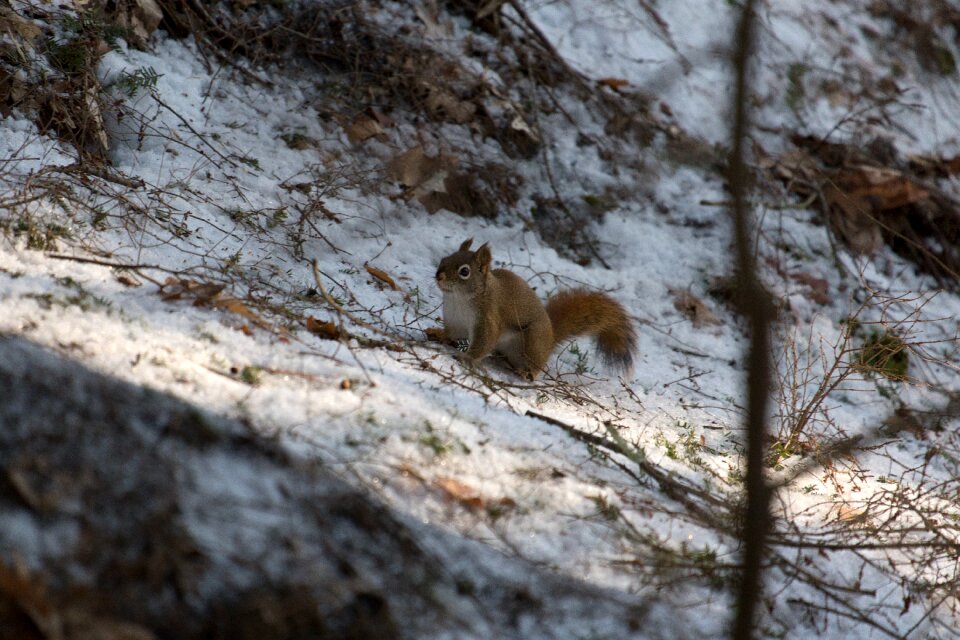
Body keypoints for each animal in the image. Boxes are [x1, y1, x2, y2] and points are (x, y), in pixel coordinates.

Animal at [436, 240, 636, 380]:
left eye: (464, 272)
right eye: (443, 260)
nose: (439, 276)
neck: (460, 299)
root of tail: (550, 340)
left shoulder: (488, 319)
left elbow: (484, 342)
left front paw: (466, 356)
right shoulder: (454, 319)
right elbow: (452, 333)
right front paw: (438, 334)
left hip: (533, 341)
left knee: (536, 366)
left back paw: (527, 372)